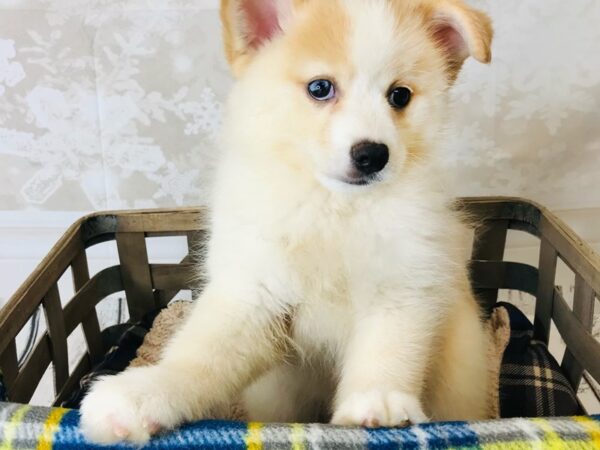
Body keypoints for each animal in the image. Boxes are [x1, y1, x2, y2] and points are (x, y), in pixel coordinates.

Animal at [78, 0, 492, 442]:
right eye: (320, 88)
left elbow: (388, 350)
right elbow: (200, 356)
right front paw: (145, 393)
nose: (372, 155)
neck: (335, 211)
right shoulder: (254, 294)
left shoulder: (403, 288)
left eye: (400, 95)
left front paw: (378, 403)